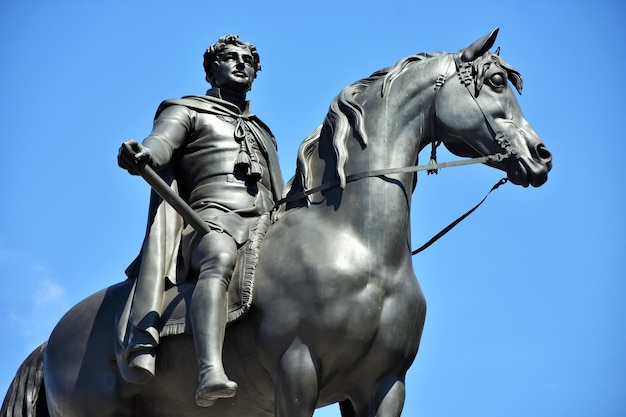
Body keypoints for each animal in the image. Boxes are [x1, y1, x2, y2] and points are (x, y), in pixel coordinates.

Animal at [1, 29, 544, 416]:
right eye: (496, 82)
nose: (541, 156)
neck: (360, 248)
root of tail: (49, 342)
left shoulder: (384, 387)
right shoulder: (297, 370)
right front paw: (138, 154)